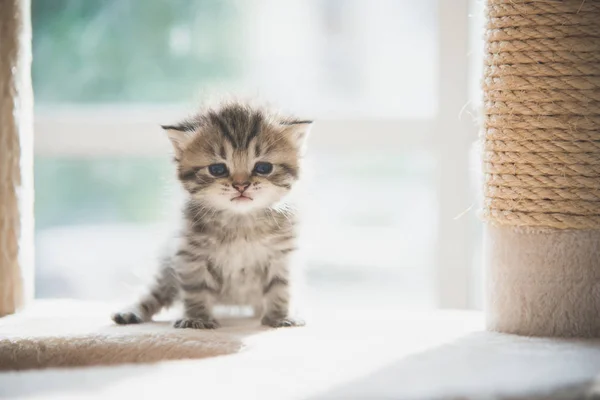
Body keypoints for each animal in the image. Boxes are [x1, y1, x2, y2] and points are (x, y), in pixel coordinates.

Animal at [110, 102, 312, 328]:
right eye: (217, 169)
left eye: (263, 167)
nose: (241, 185)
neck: (240, 222)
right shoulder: (191, 255)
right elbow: (196, 289)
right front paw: (197, 319)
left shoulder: (281, 256)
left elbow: (280, 288)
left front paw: (280, 317)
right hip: (167, 268)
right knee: (154, 292)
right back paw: (131, 312)